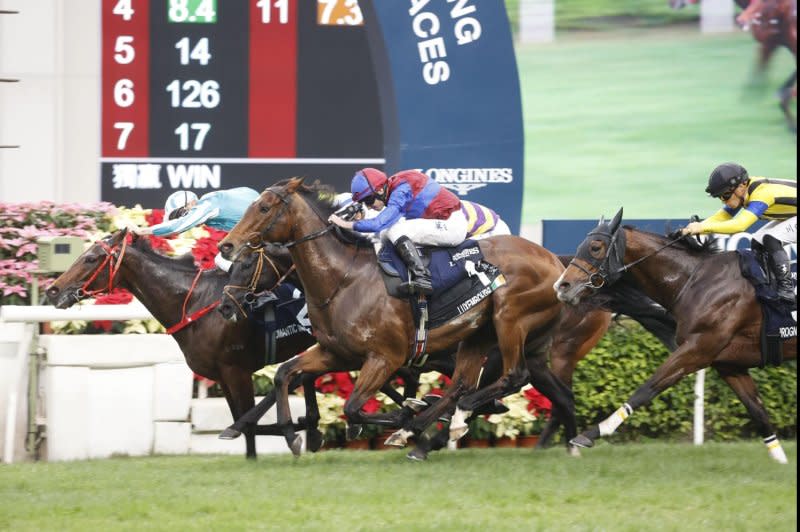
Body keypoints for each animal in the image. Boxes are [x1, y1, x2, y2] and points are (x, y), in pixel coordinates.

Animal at [43, 231, 322, 460]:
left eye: (90, 258)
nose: (53, 291)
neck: (196, 303)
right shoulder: (223, 376)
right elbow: (242, 420)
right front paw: (308, 426)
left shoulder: (237, 371)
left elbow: (248, 423)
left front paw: (298, 432)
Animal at [556, 208, 792, 462]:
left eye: (595, 247)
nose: (561, 286)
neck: (696, 280)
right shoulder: (728, 363)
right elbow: (757, 410)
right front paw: (780, 461)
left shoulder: (697, 348)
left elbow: (648, 388)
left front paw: (594, 432)